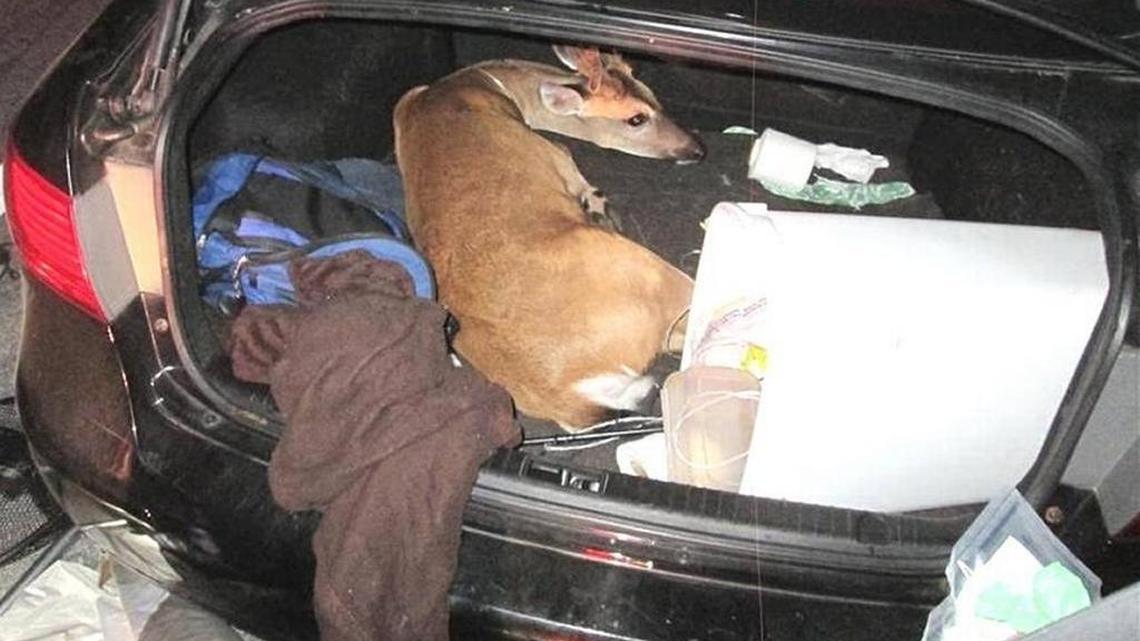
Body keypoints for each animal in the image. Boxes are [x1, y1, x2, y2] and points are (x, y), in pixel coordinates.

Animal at [393, 45, 704, 430]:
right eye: (636, 119)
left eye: (653, 95)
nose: (698, 149)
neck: (476, 83)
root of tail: (572, 396)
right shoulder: (557, 154)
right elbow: (572, 161)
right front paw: (598, 204)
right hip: (642, 269)